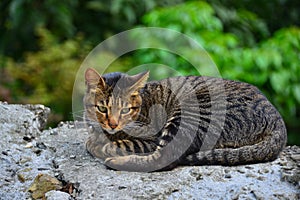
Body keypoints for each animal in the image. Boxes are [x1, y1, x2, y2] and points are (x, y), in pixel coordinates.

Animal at [84, 68, 286, 171]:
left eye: (125, 110)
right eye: (102, 108)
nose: (113, 124)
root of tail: (277, 120)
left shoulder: (150, 139)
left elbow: (113, 145)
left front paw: (99, 145)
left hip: (188, 114)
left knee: (165, 159)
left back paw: (115, 162)